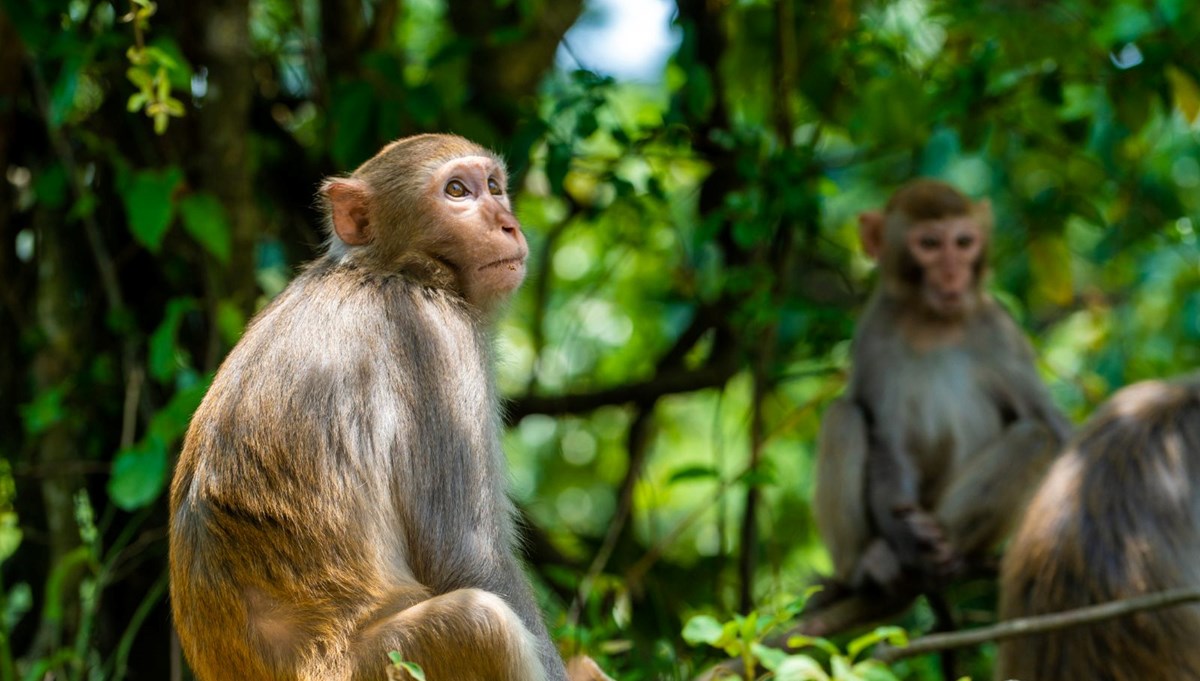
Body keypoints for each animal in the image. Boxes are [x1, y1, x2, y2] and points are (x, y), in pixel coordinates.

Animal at [168, 134, 571, 681]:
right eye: (457, 191)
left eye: (494, 187)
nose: (507, 223)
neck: (388, 269)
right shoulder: (436, 337)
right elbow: (467, 558)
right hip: (383, 664)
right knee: (481, 622)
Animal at [811, 178, 1075, 623]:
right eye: (930, 244)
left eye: (964, 242)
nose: (953, 273)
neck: (932, 322)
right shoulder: (875, 335)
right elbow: (887, 441)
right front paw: (902, 539)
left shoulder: (999, 332)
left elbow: (1049, 422)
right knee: (842, 417)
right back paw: (865, 568)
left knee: (1034, 437)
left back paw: (944, 547)